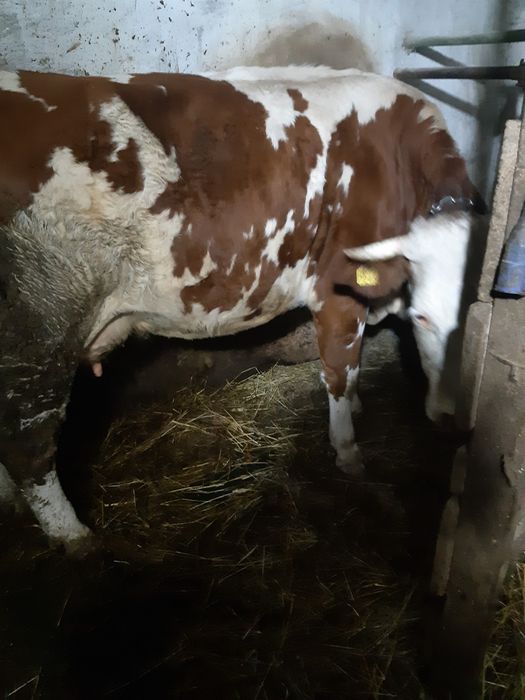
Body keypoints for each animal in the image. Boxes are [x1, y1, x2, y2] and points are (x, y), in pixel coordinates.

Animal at [0, 65, 484, 551]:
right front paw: (348, 452)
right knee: (29, 444)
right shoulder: (337, 288)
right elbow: (340, 371)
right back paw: (74, 535)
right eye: (423, 319)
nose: (452, 418)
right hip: (40, 332)